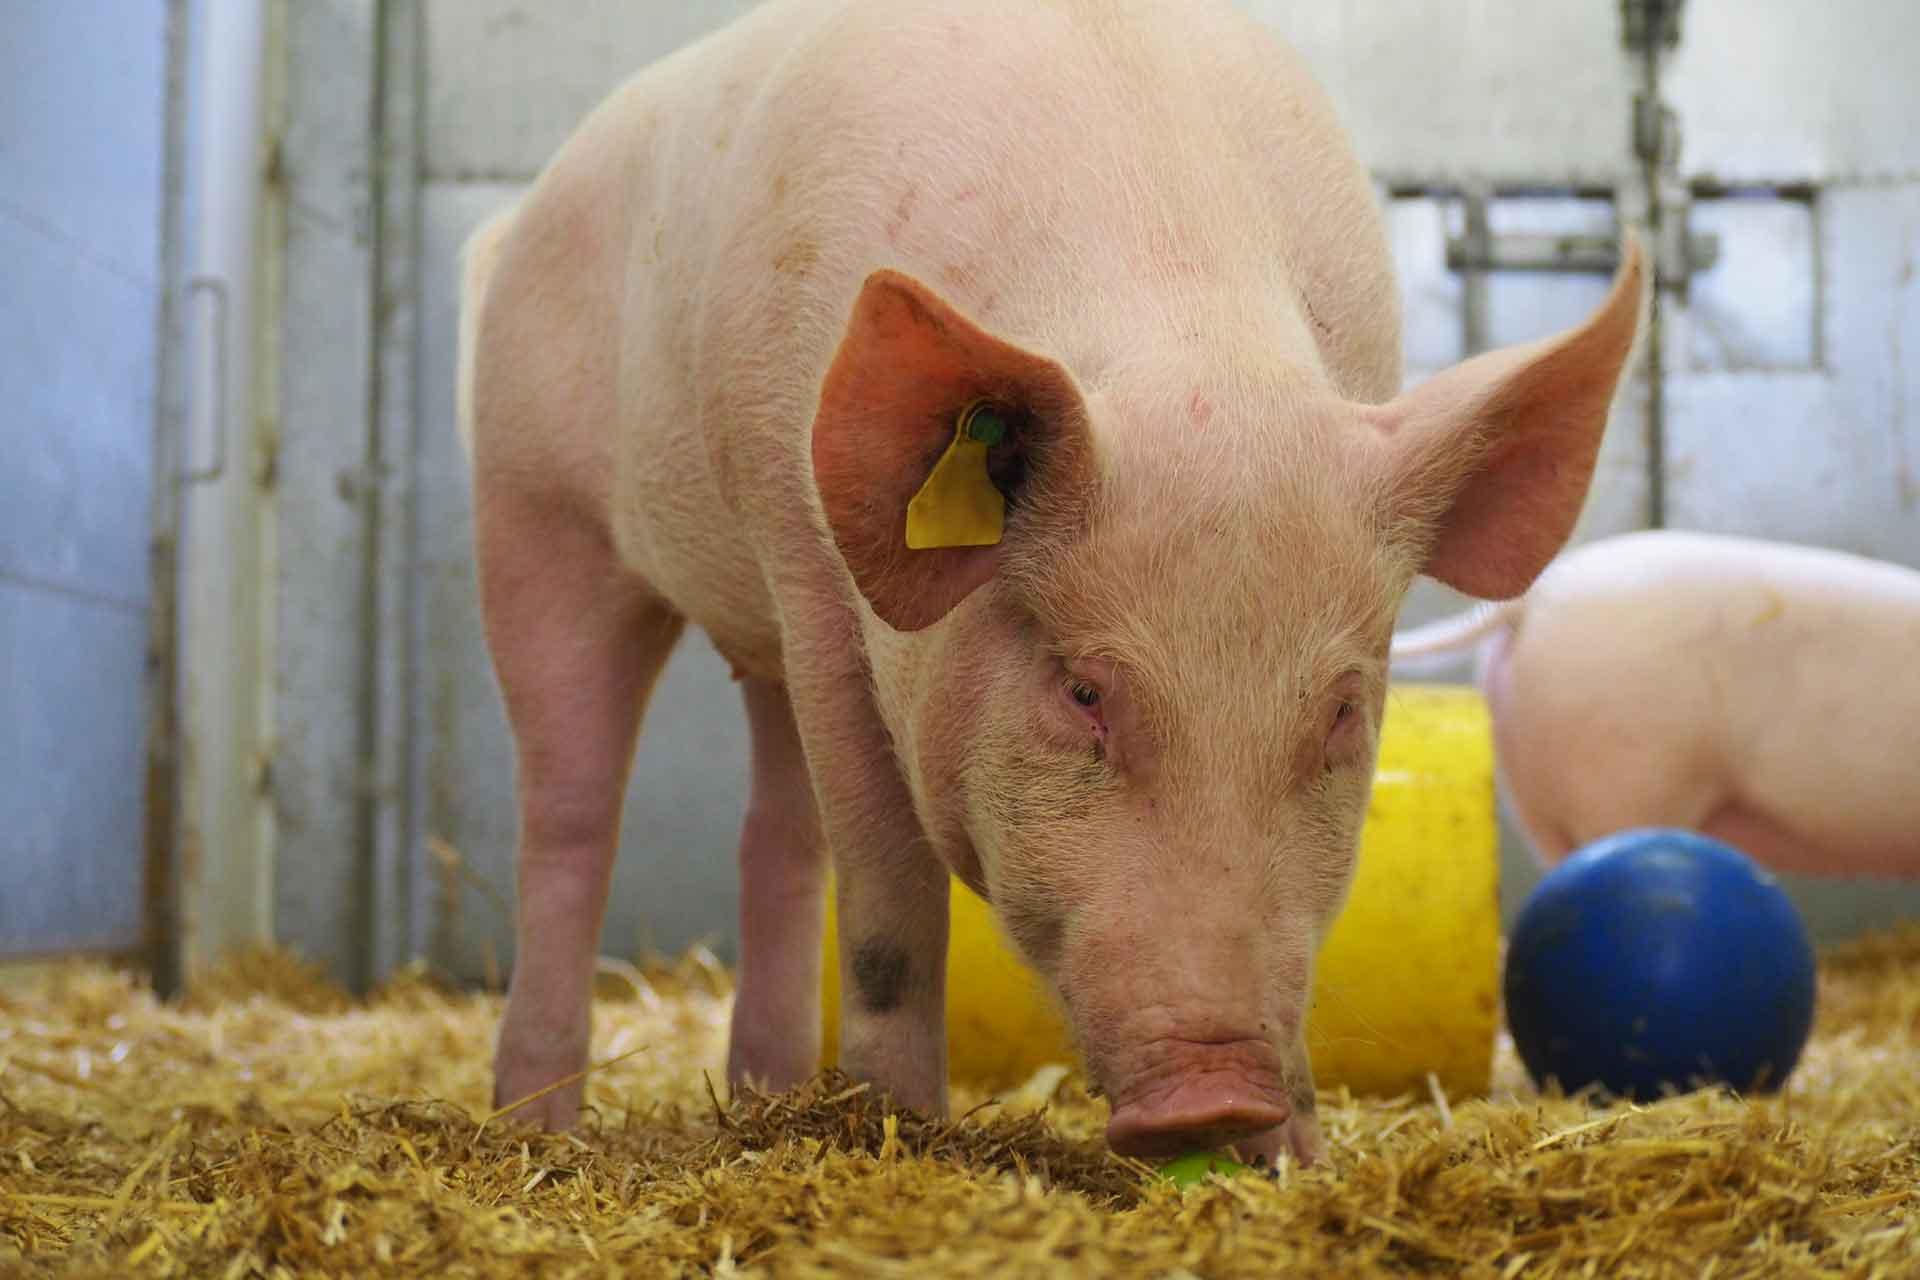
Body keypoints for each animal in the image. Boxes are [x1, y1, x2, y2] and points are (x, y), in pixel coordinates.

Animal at [456, 0, 1643, 1166]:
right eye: (1084, 691)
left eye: (1343, 709)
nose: (1215, 1094)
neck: (1178, 307)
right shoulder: (810, 565)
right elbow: (887, 897)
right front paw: (898, 1131)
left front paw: (1297, 1161)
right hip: (531, 503)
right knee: (570, 811)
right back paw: (535, 1123)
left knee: (776, 838)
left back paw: (765, 1099)